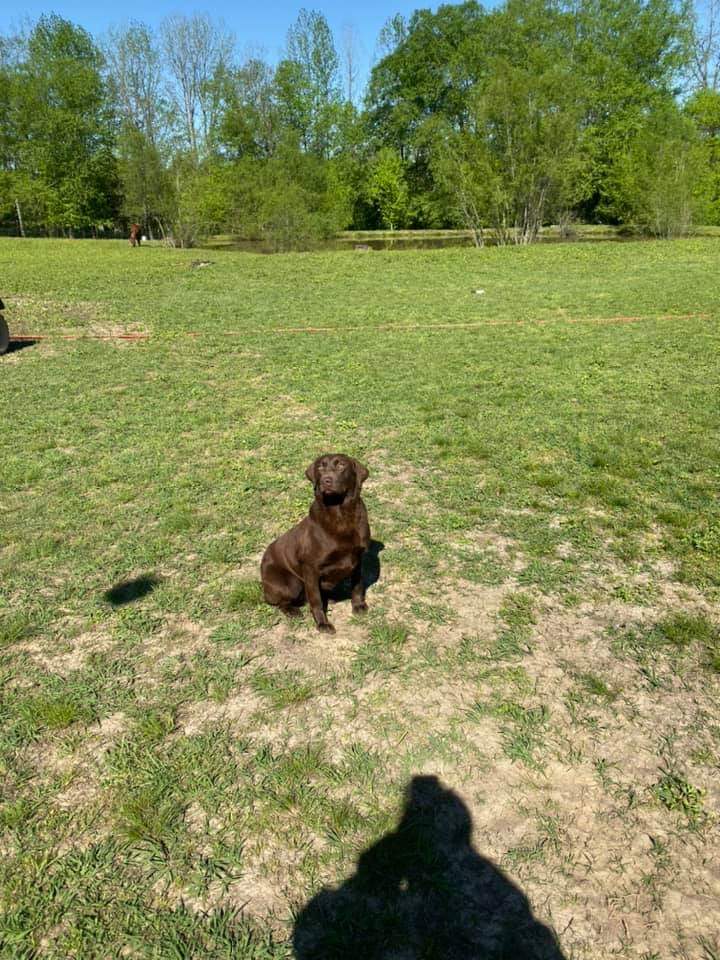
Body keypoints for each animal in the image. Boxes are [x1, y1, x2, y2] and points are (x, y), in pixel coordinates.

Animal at [260, 456, 372, 632]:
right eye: (320, 467)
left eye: (341, 465)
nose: (326, 480)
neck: (340, 514)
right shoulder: (310, 568)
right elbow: (315, 600)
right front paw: (322, 623)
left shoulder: (358, 559)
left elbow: (357, 585)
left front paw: (358, 606)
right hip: (292, 583)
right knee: (281, 602)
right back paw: (293, 611)